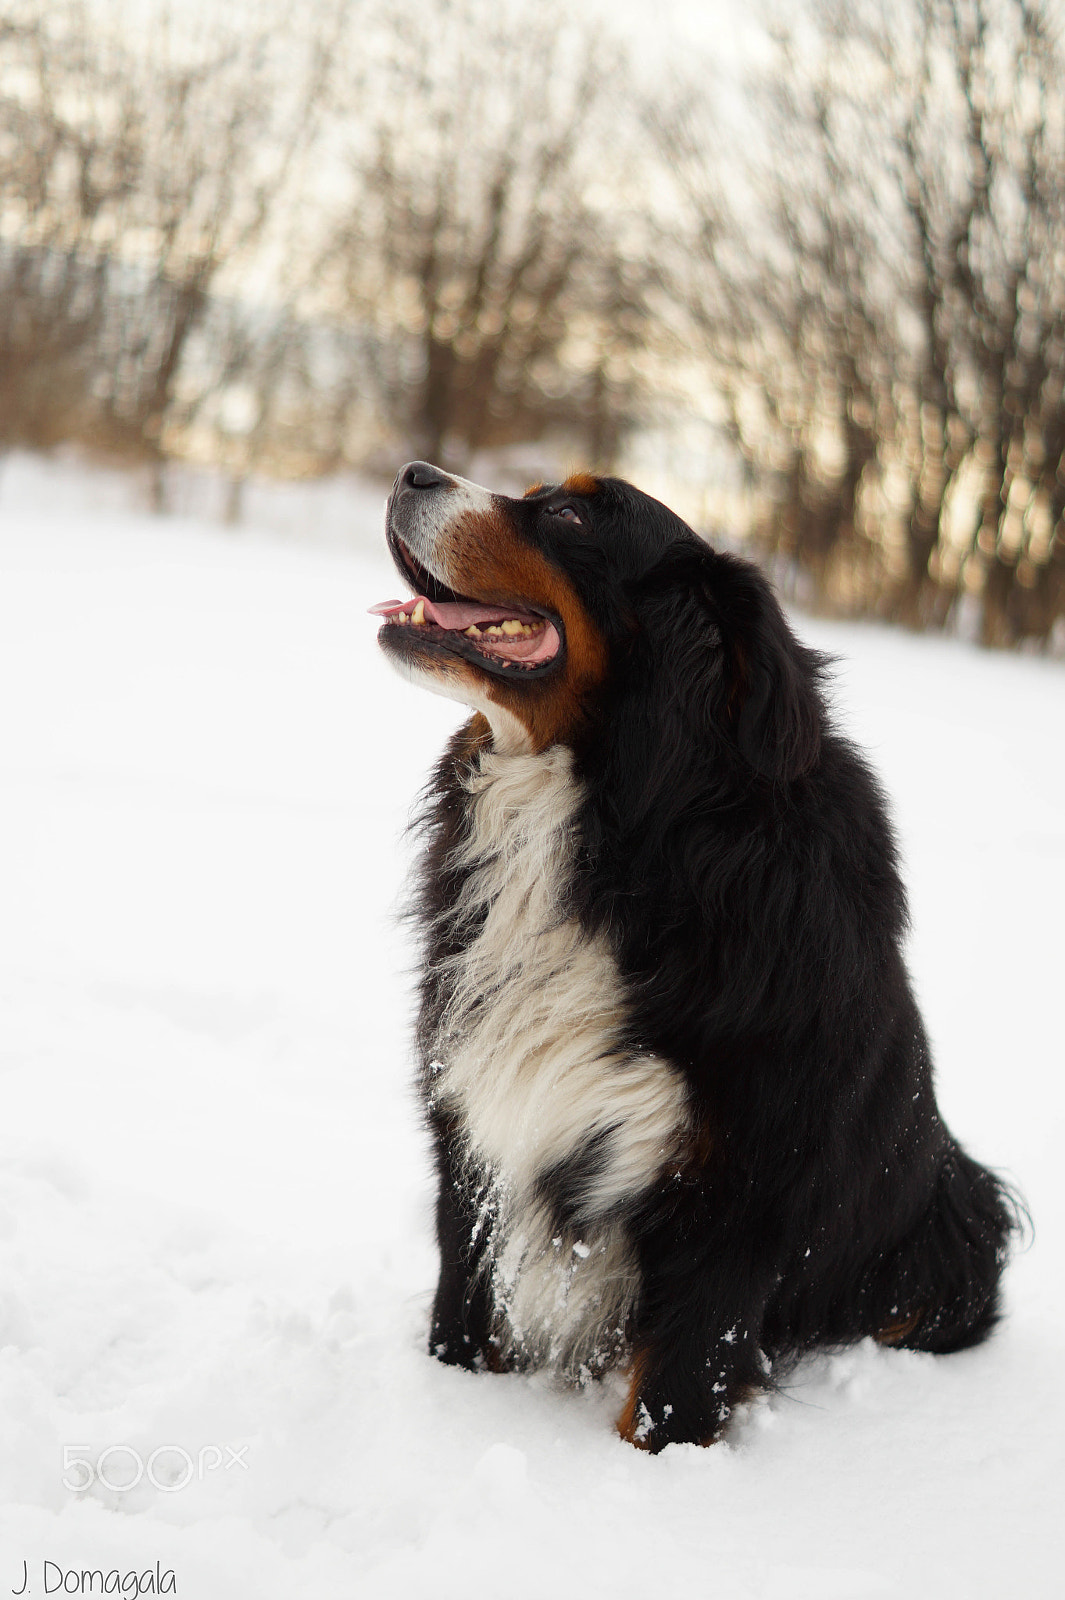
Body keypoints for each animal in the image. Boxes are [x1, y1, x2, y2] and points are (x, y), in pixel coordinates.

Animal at [369, 460, 1017, 1452]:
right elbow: (463, 1316)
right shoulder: (472, 1131)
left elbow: (672, 1390)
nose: (413, 470)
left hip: (954, 1239)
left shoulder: (737, 1189)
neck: (617, 824)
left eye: (570, 515)